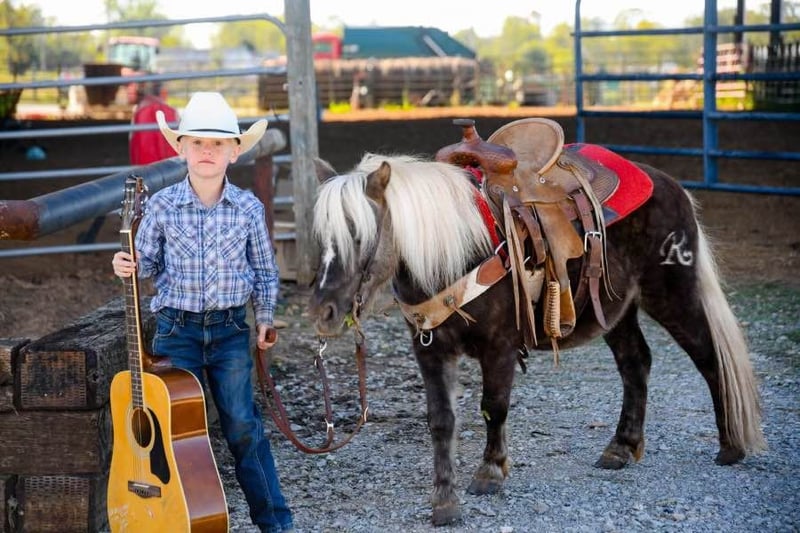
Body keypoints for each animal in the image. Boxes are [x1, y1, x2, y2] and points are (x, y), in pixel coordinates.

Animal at [307, 135, 766, 525]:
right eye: (320, 237)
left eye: (359, 235)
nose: (323, 312)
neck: (456, 251)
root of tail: (671, 185)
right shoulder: (430, 349)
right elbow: (440, 421)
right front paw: (444, 501)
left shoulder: (500, 347)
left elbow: (493, 406)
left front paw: (490, 472)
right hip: (613, 310)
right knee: (636, 363)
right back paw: (620, 446)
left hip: (671, 293)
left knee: (709, 357)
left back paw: (730, 446)